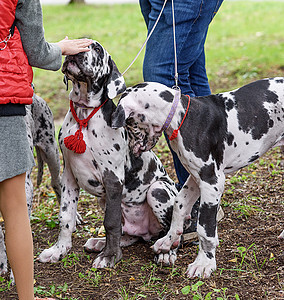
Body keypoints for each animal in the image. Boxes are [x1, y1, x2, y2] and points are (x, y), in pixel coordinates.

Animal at [37, 40, 195, 270]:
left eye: (96, 49)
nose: (75, 53)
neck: (85, 116)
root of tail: (147, 233)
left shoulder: (112, 178)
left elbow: (110, 222)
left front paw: (110, 256)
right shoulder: (69, 176)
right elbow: (65, 217)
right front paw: (59, 250)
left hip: (157, 189)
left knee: (173, 231)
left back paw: (166, 252)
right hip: (107, 202)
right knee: (129, 235)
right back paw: (100, 242)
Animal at [111, 77, 284, 276]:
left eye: (128, 126)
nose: (130, 149)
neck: (180, 117)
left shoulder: (211, 182)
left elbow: (204, 229)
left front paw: (204, 263)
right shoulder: (194, 177)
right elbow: (179, 205)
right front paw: (169, 241)